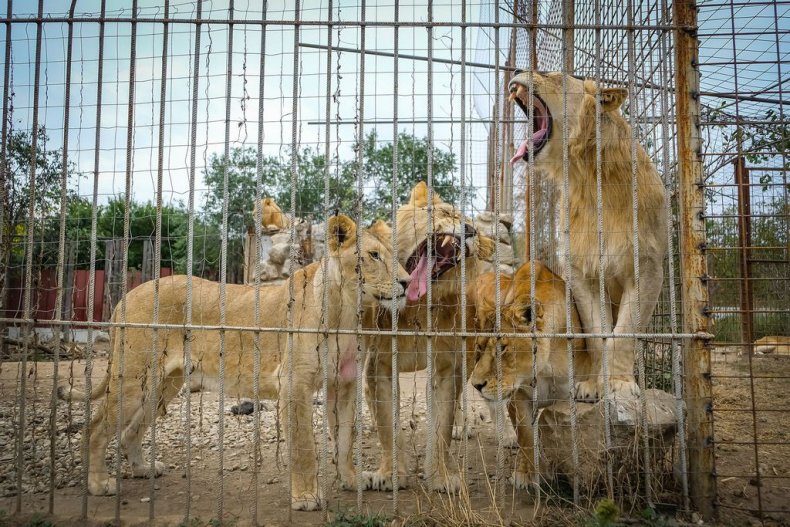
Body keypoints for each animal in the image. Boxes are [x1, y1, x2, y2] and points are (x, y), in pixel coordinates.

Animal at [58, 214, 412, 512]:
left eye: (395, 256)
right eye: (374, 256)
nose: (407, 282)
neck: (349, 309)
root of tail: (125, 298)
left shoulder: (344, 384)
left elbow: (344, 439)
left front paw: (352, 480)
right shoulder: (294, 385)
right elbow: (304, 448)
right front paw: (306, 497)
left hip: (162, 384)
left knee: (130, 431)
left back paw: (144, 469)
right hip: (133, 379)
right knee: (94, 428)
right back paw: (99, 484)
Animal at [364, 182, 496, 496]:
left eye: (475, 229)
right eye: (447, 213)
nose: (469, 230)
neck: (416, 308)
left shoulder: (446, 366)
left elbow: (442, 425)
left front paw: (441, 478)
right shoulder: (379, 365)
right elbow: (387, 424)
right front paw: (389, 475)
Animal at [470, 262, 592, 488]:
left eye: (502, 348)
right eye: (480, 347)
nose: (476, 385)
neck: (545, 367)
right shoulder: (517, 397)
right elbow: (526, 436)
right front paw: (529, 474)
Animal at [510, 71, 672, 400]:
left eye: (553, 76)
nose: (516, 73)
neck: (587, 176)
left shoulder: (647, 267)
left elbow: (624, 333)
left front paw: (620, 384)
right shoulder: (581, 272)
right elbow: (599, 336)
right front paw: (594, 385)